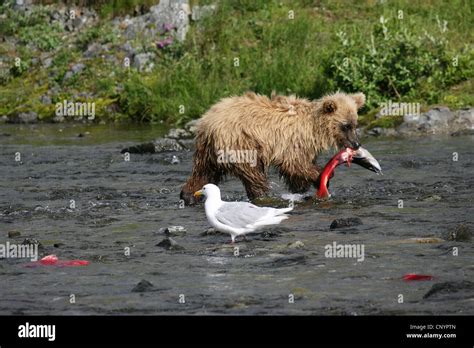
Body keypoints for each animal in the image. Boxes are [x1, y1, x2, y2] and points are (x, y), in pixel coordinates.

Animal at [180, 90, 364, 204]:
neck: (314, 129)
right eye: (345, 126)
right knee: (253, 174)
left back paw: (188, 195)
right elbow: (294, 164)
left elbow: (296, 171)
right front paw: (322, 175)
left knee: (204, 171)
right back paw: (262, 196)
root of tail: (207, 122)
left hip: (208, 150)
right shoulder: (293, 141)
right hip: (240, 144)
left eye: (355, 124)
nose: (356, 144)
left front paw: (302, 186)